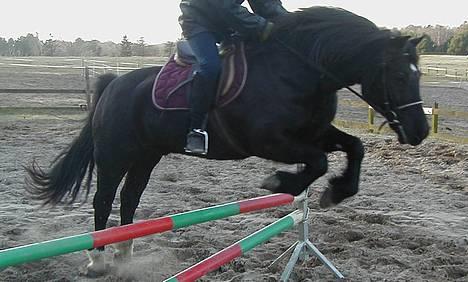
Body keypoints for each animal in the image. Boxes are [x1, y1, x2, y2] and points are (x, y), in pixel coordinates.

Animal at [25, 6, 428, 270]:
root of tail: (112, 84)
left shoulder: (314, 133)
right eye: (399, 76)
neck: (299, 70)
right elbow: (318, 161)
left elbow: (353, 148)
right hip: (115, 154)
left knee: (129, 198)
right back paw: (97, 261)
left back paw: (125, 253)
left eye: (418, 73)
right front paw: (281, 181)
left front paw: (336, 191)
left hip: (147, 155)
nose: (421, 131)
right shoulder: (268, 141)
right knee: (104, 199)